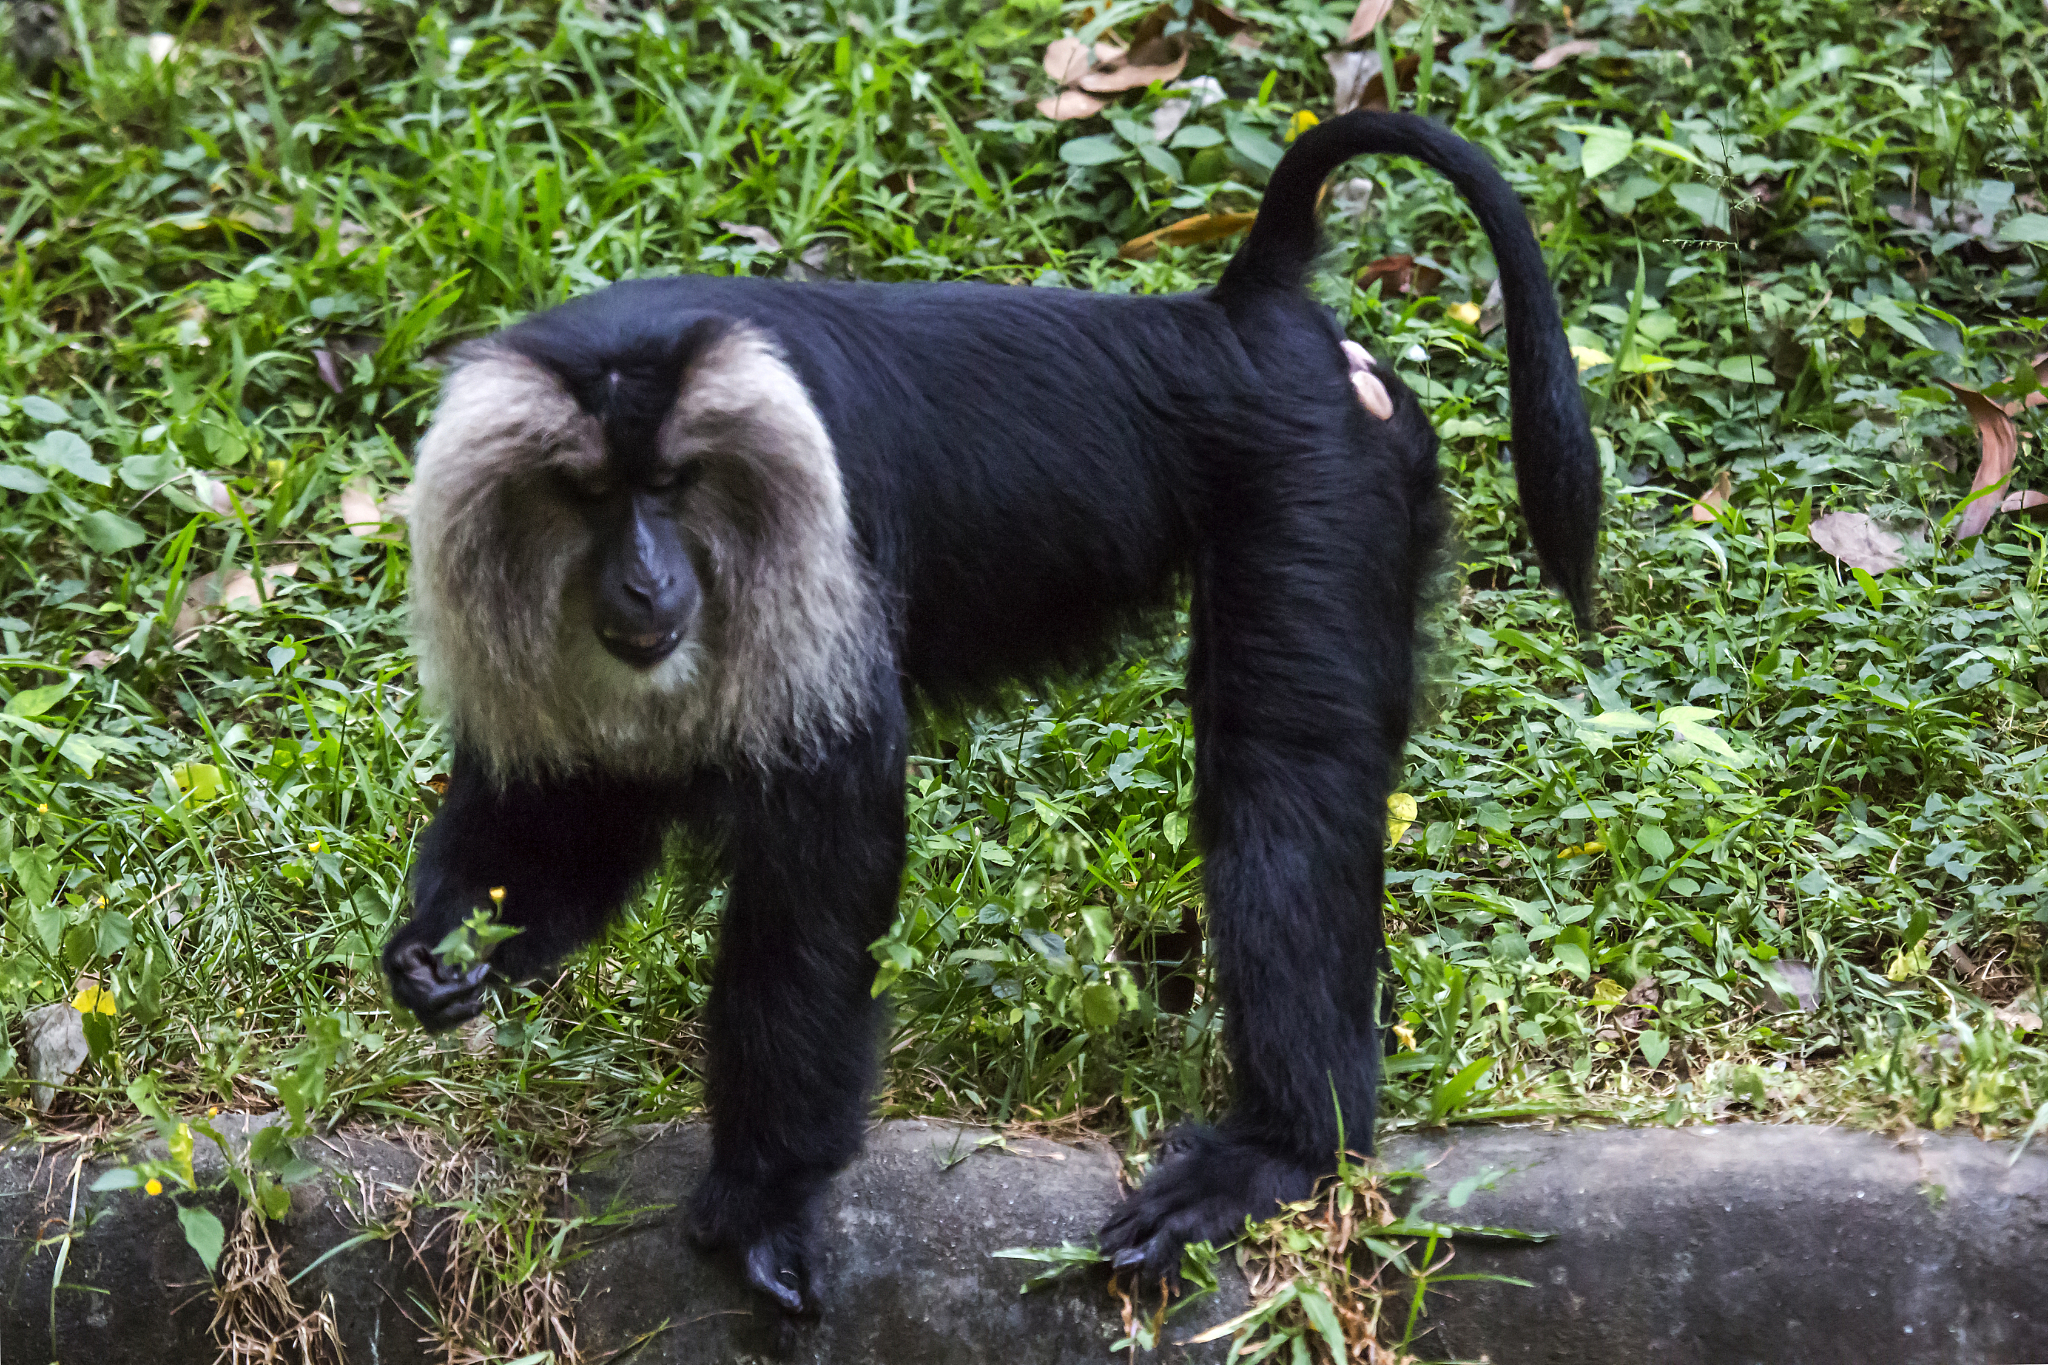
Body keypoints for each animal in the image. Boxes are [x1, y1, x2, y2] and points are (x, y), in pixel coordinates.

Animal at [381, 110, 1600, 1315]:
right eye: (590, 496)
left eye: (674, 487)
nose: (643, 583)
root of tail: (1242, 317)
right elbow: (573, 808)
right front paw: (443, 950)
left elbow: (828, 868)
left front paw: (764, 1197)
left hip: (1315, 481)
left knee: (1284, 781)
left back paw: (1287, 1149)